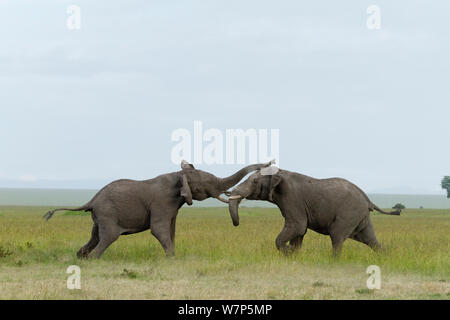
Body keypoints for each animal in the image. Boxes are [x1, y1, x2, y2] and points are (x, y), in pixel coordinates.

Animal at [44, 159, 272, 258]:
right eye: (206, 185)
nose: (271, 161)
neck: (178, 176)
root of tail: (91, 200)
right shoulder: (163, 201)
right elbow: (159, 229)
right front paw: (172, 259)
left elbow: (171, 230)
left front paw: (173, 257)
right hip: (108, 213)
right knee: (108, 237)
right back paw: (93, 260)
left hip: (100, 216)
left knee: (95, 237)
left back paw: (81, 258)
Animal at [229, 166, 400, 256]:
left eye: (254, 181)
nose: (237, 224)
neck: (280, 172)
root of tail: (368, 200)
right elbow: (300, 231)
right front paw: (294, 254)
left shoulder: (292, 198)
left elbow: (297, 226)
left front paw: (288, 251)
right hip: (360, 216)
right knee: (370, 239)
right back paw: (385, 257)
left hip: (349, 213)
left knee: (337, 236)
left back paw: (334, 261)